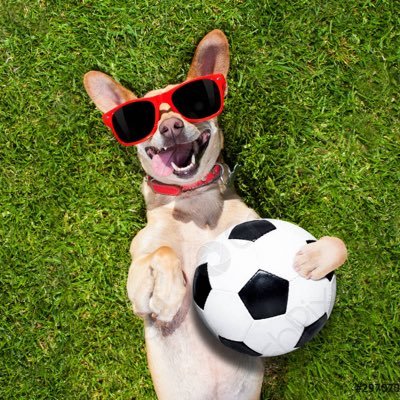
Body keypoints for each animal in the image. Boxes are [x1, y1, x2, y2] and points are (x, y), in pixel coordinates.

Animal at [84, 30, 346, 400]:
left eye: (190, 106)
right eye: (146, 120)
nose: (172, 126)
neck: (194, 201)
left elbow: (338, 243)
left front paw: (312, 259)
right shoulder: (137, 291)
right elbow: (162, 253)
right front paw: (168, 297)